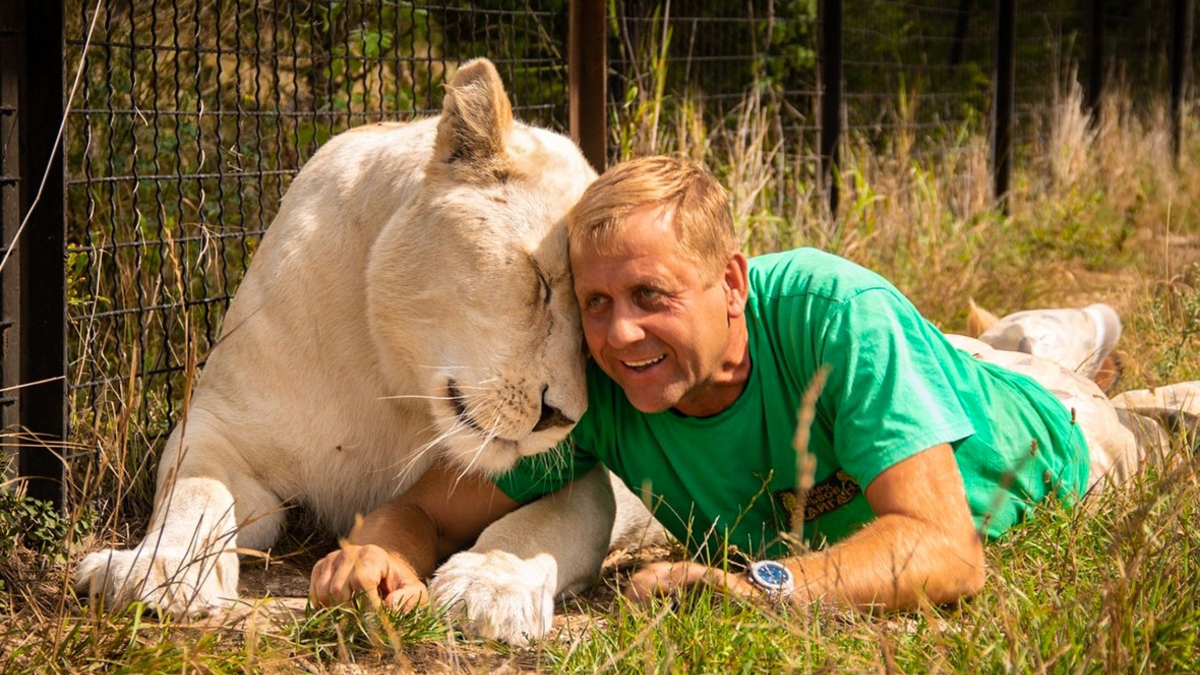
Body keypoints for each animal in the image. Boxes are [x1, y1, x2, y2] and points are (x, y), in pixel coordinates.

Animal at [77, 57, 657, 638]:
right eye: (542, 282)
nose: (562, 418)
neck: (397, 385)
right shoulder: (220, 426)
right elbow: (193, 491)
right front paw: (154, 571)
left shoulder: (584, 478)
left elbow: (540, 528)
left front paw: (490, 586)